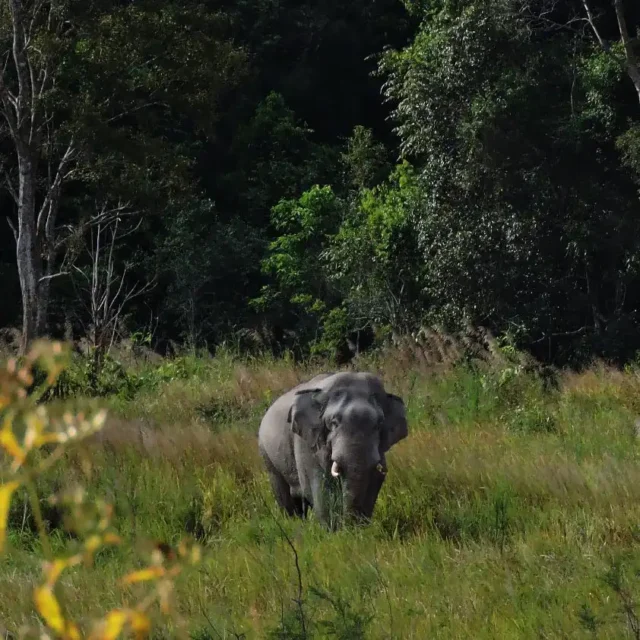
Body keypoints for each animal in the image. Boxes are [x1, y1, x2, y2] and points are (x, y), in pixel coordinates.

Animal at [258, 371, 408, 528]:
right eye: (333, 423)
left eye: (379, 425)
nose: (350, 526)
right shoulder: (306, 441)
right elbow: (317, 483)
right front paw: (333, 530)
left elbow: (375, 479)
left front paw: (360, 528)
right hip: (267, 455)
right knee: (285, 496)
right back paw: (294, 524)